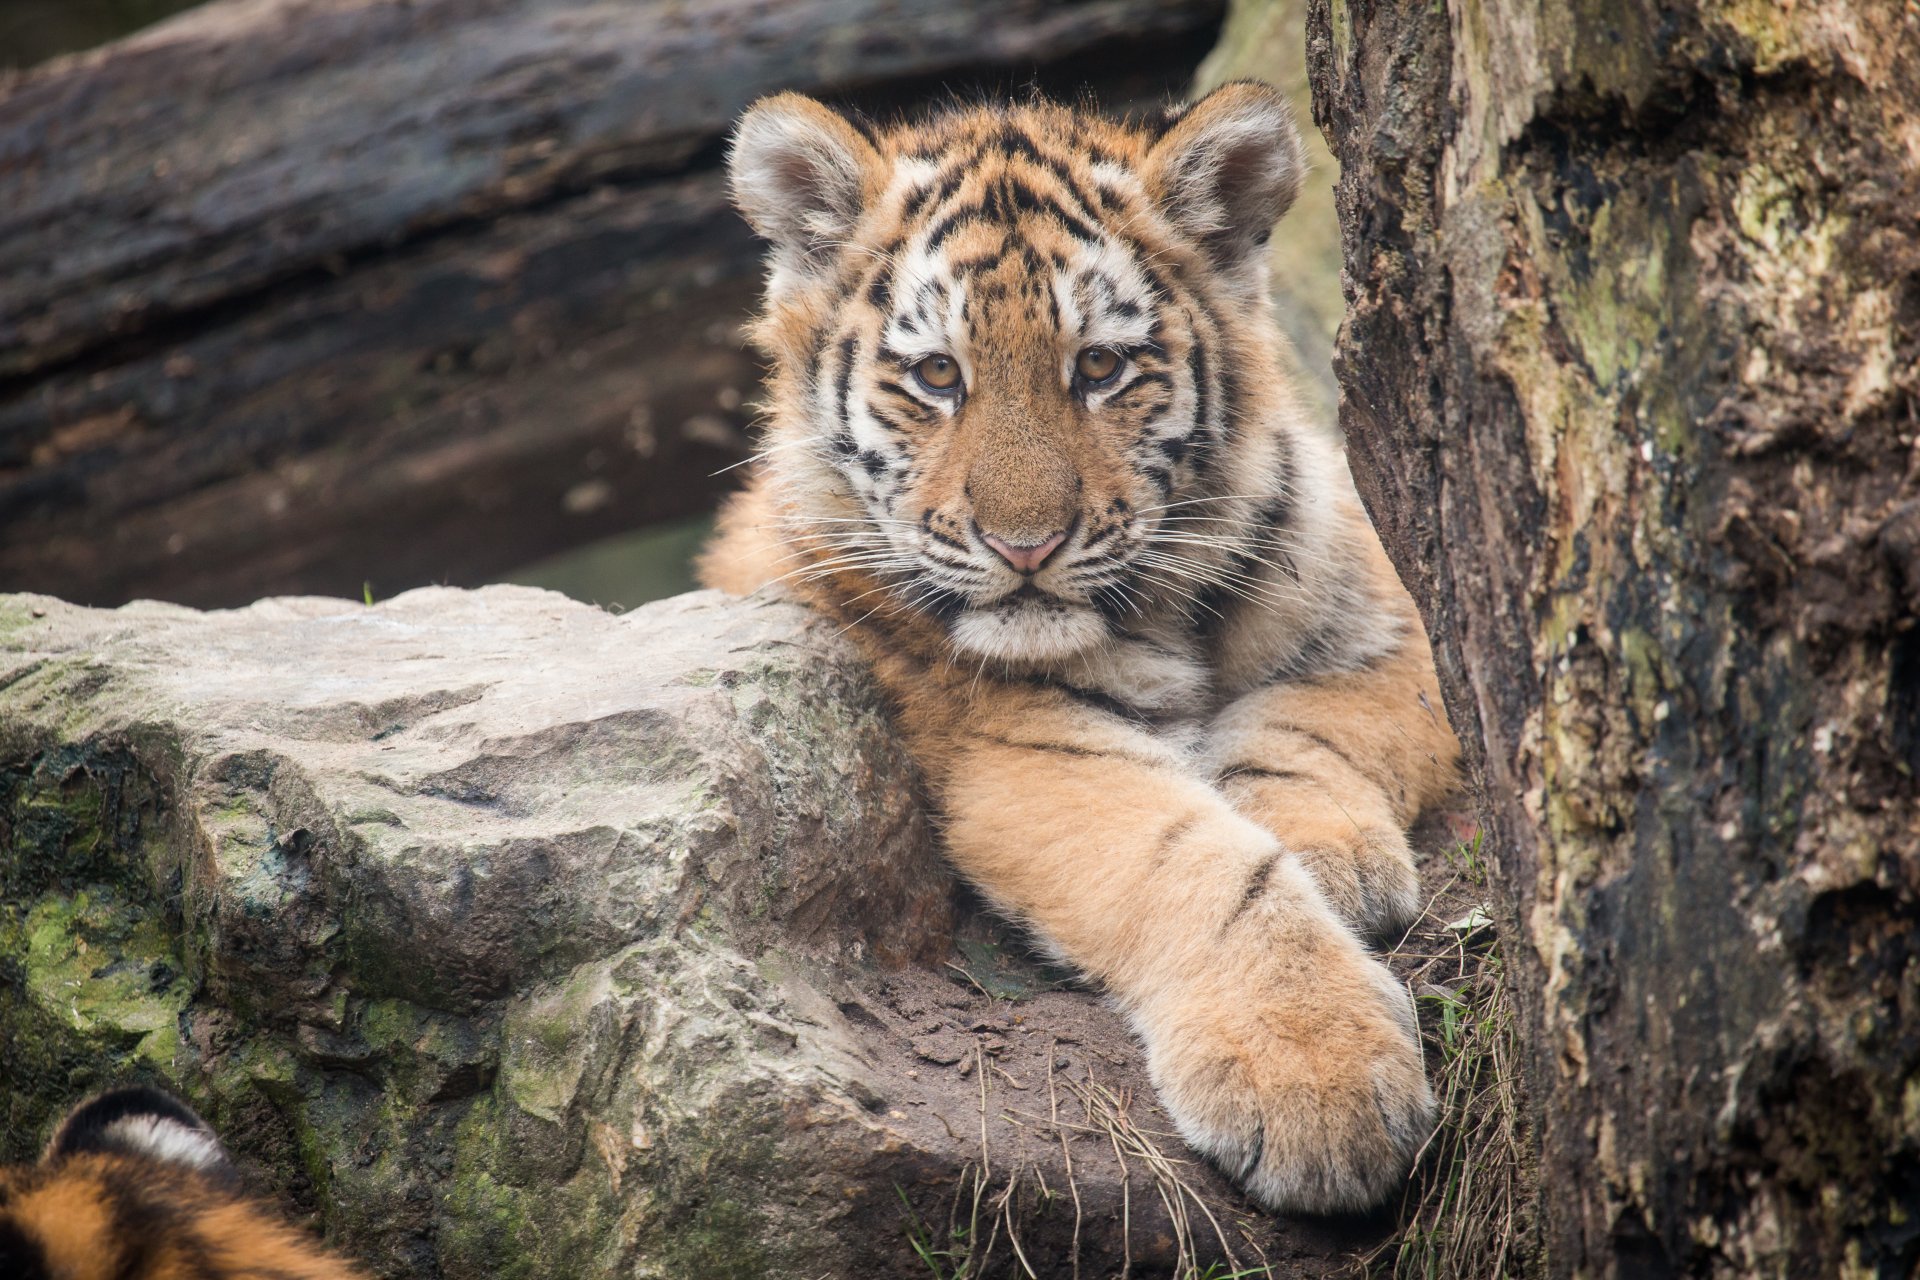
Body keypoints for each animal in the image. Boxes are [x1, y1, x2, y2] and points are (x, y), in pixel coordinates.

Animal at [698, 81, 1462, 1213]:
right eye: (937, 376)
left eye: (1099, 367)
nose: (1024, 545)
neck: (1164, 612)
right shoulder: (1021, 746)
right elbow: (1197, 865)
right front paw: (1317, 1075)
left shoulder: (1395, 621)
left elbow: (1308, 727)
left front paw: (1329, 849)